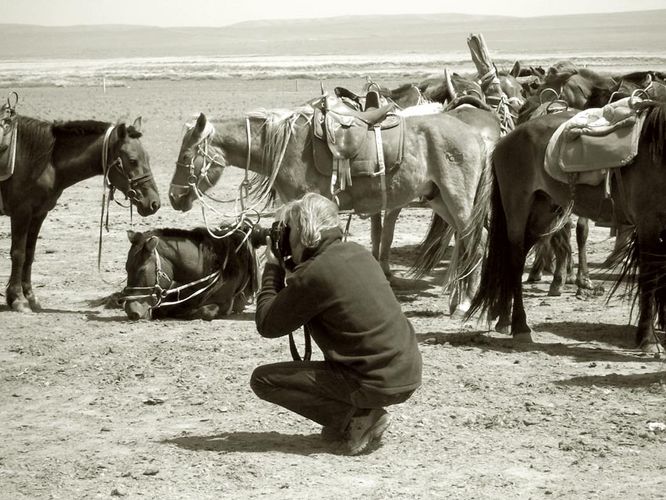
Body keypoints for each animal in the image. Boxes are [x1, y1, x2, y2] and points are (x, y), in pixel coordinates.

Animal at [166, 105, 488, 314]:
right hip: (439, 200)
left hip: (457, 199)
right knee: (466, 241)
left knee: (476, 241)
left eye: (187, 154)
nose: (174, 196)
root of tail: (476, 135)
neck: (285, 147)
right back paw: (457, 298)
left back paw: (463, 303)